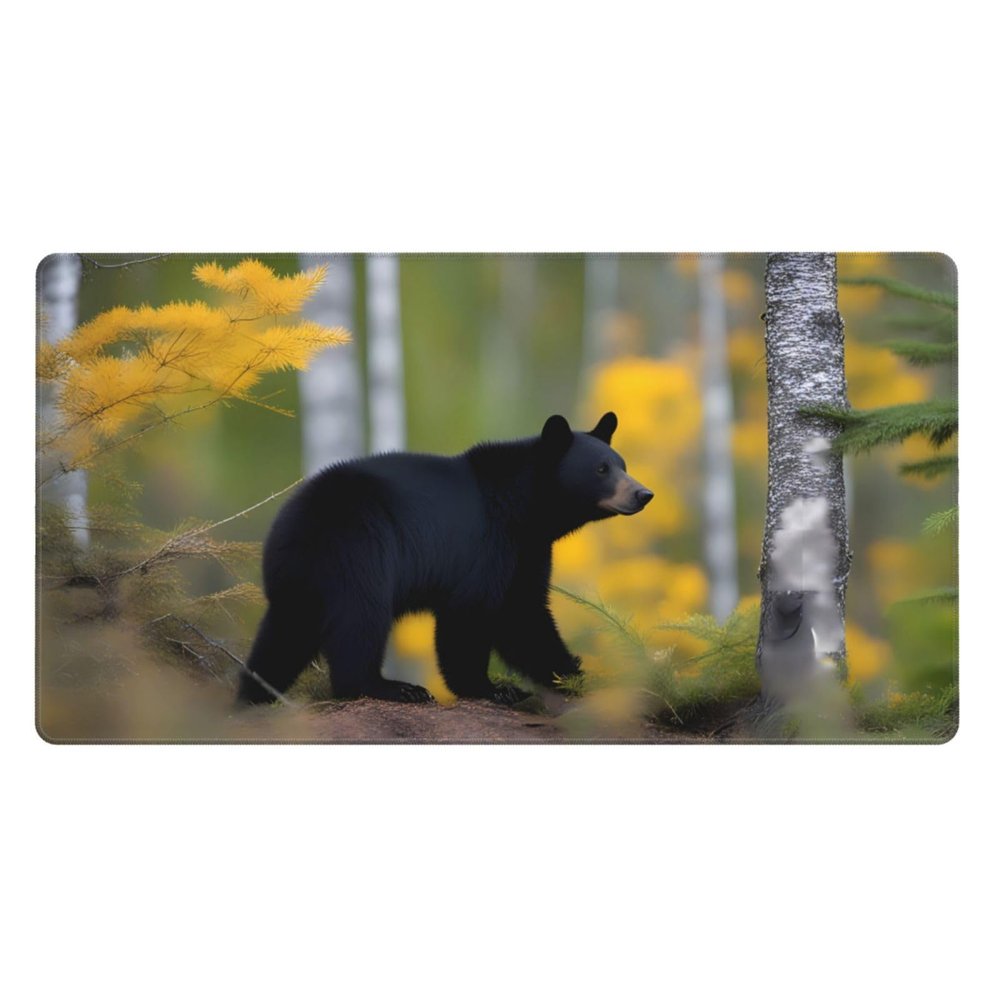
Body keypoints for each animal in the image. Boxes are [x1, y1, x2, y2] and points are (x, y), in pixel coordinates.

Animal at [237, 411, 653, 705]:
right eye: (601, 469)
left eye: (623, 465)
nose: (643, 494)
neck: (523, 507)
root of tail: (289, 525)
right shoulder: (486, 543)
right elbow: (470, 613)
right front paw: (492, 688)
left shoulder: (526, 549)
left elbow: (524, 613)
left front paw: (575, 676)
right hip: (358, 546)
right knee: (361, 615)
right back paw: (392, 688)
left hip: (298, 577)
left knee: (286, 633)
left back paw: (254, 695)